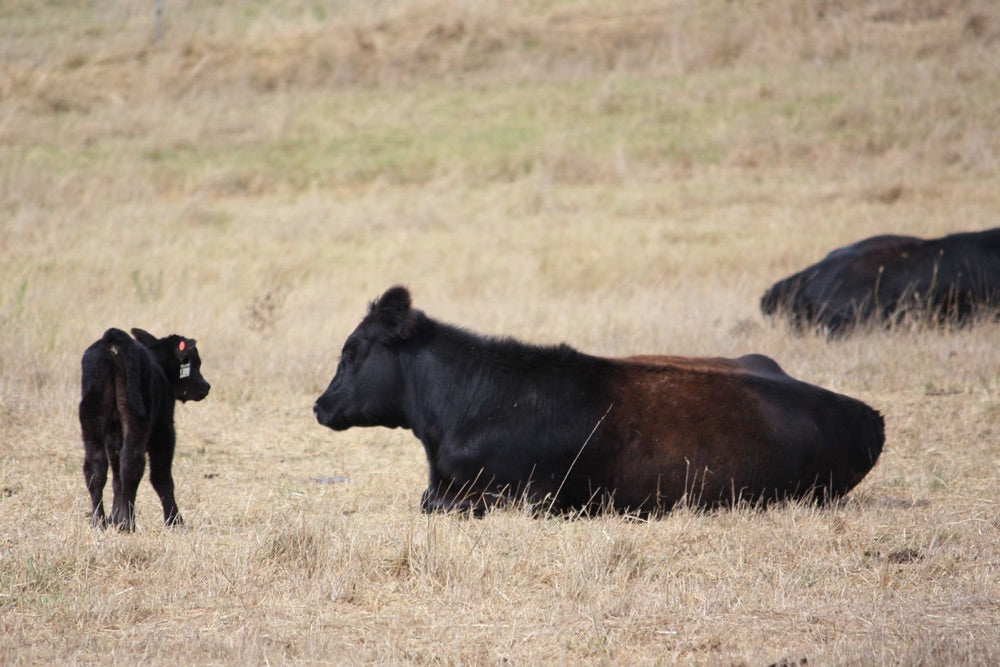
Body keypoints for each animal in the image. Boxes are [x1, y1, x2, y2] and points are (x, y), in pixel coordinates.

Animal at [78, 328, 211, 532]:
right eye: (195, 362)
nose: (205, 386)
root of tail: (113, 340)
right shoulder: (164, 430)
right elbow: (161, 477)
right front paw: (174, 521)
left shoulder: (113, 437)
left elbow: (116, 479)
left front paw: (115, 518)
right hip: (138, 417)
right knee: (132, 464)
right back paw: (128, 523)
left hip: (92, 415)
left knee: (96, 467)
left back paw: (99, 521)